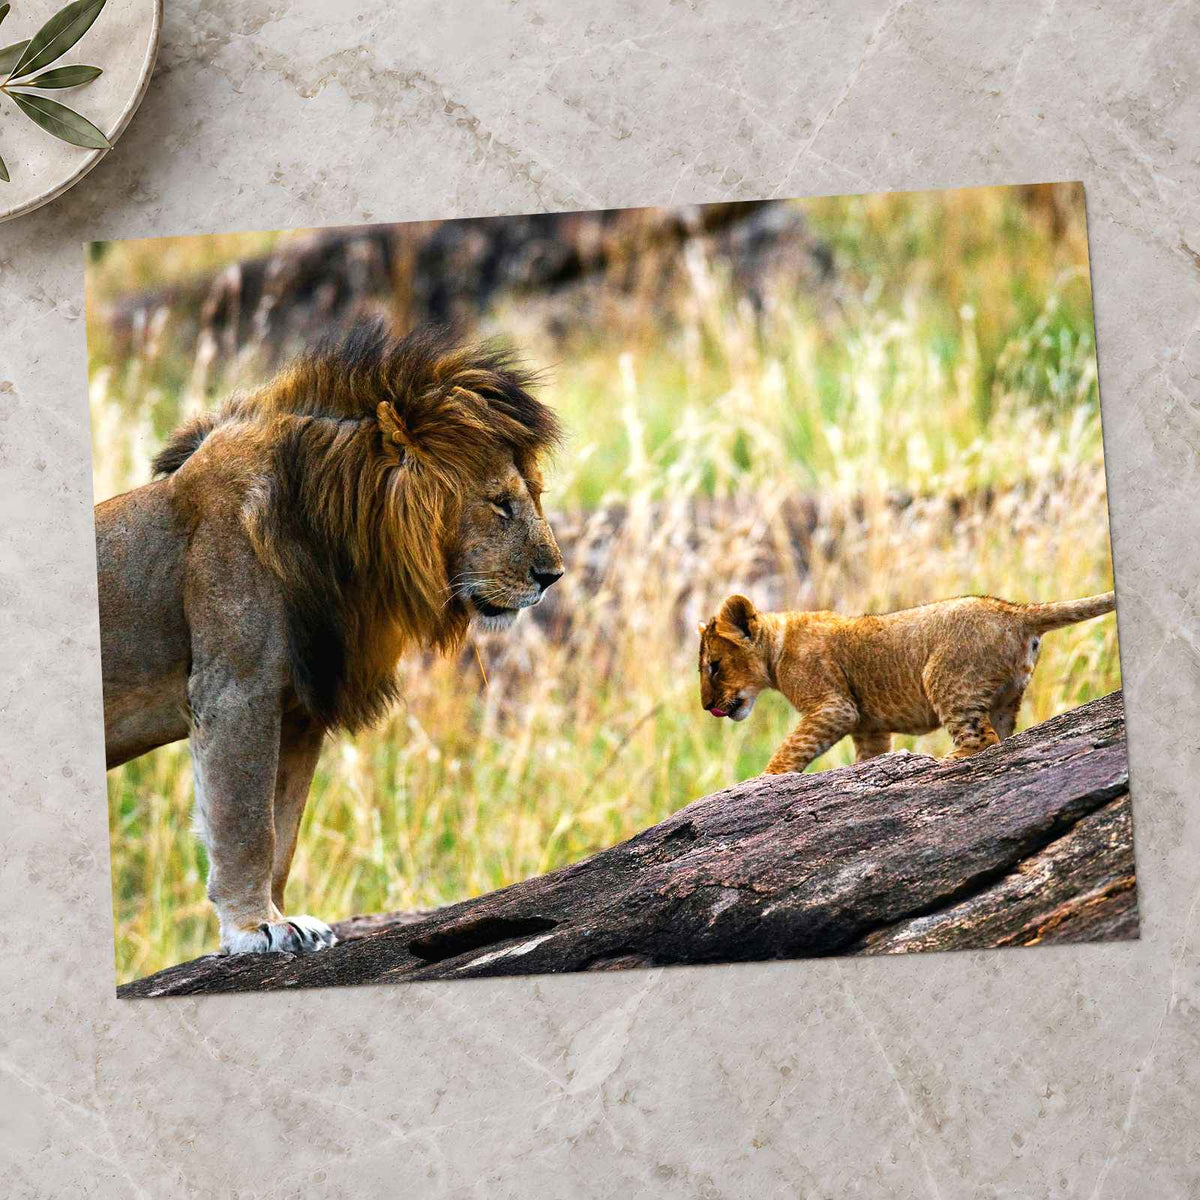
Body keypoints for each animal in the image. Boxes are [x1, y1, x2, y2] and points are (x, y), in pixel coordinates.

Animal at [97, 322, 564, 956]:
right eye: (501, 503)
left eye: (533, 495)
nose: (553, 575)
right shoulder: (234, 691)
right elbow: (246, 823)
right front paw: (255, 926)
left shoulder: (298, 710)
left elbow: (282, 829)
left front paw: (285, 919)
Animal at [698, 590, 1115, 774]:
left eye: (714, 666)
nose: (706, 706)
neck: (777, 647)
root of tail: (1014, 611)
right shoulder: (868, 729)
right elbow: (867, 756)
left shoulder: (835, 706)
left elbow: (791, 748)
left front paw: (765, 780)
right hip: (1005, 696)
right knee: (1000, 735)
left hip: (943, 677)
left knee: (980, 740)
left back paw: (943, 762)